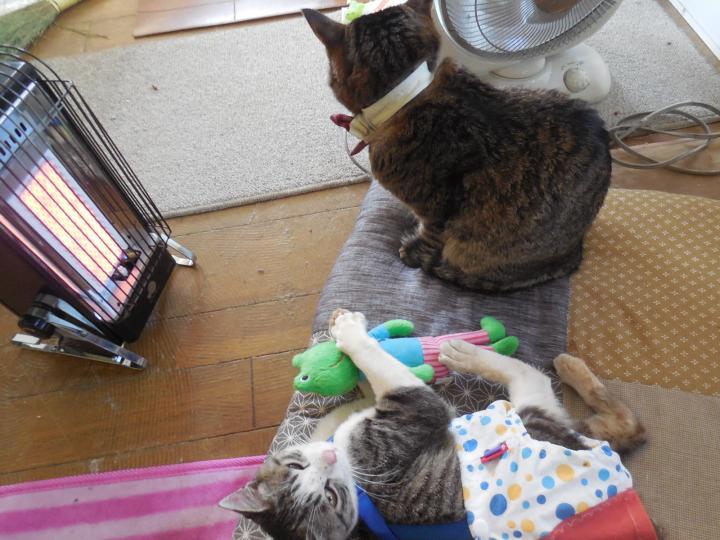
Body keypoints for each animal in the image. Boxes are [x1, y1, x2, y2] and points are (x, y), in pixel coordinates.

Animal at [221, 309, 647, 539]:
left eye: (295, 465)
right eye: (330, 497)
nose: (327, 458)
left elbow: (342, 409)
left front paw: (353, 376)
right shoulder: (415, 409)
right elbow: (377, 363)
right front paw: (350, 334)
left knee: (628, 427)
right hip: (526, 412)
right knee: (540, 380)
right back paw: (467, 353)